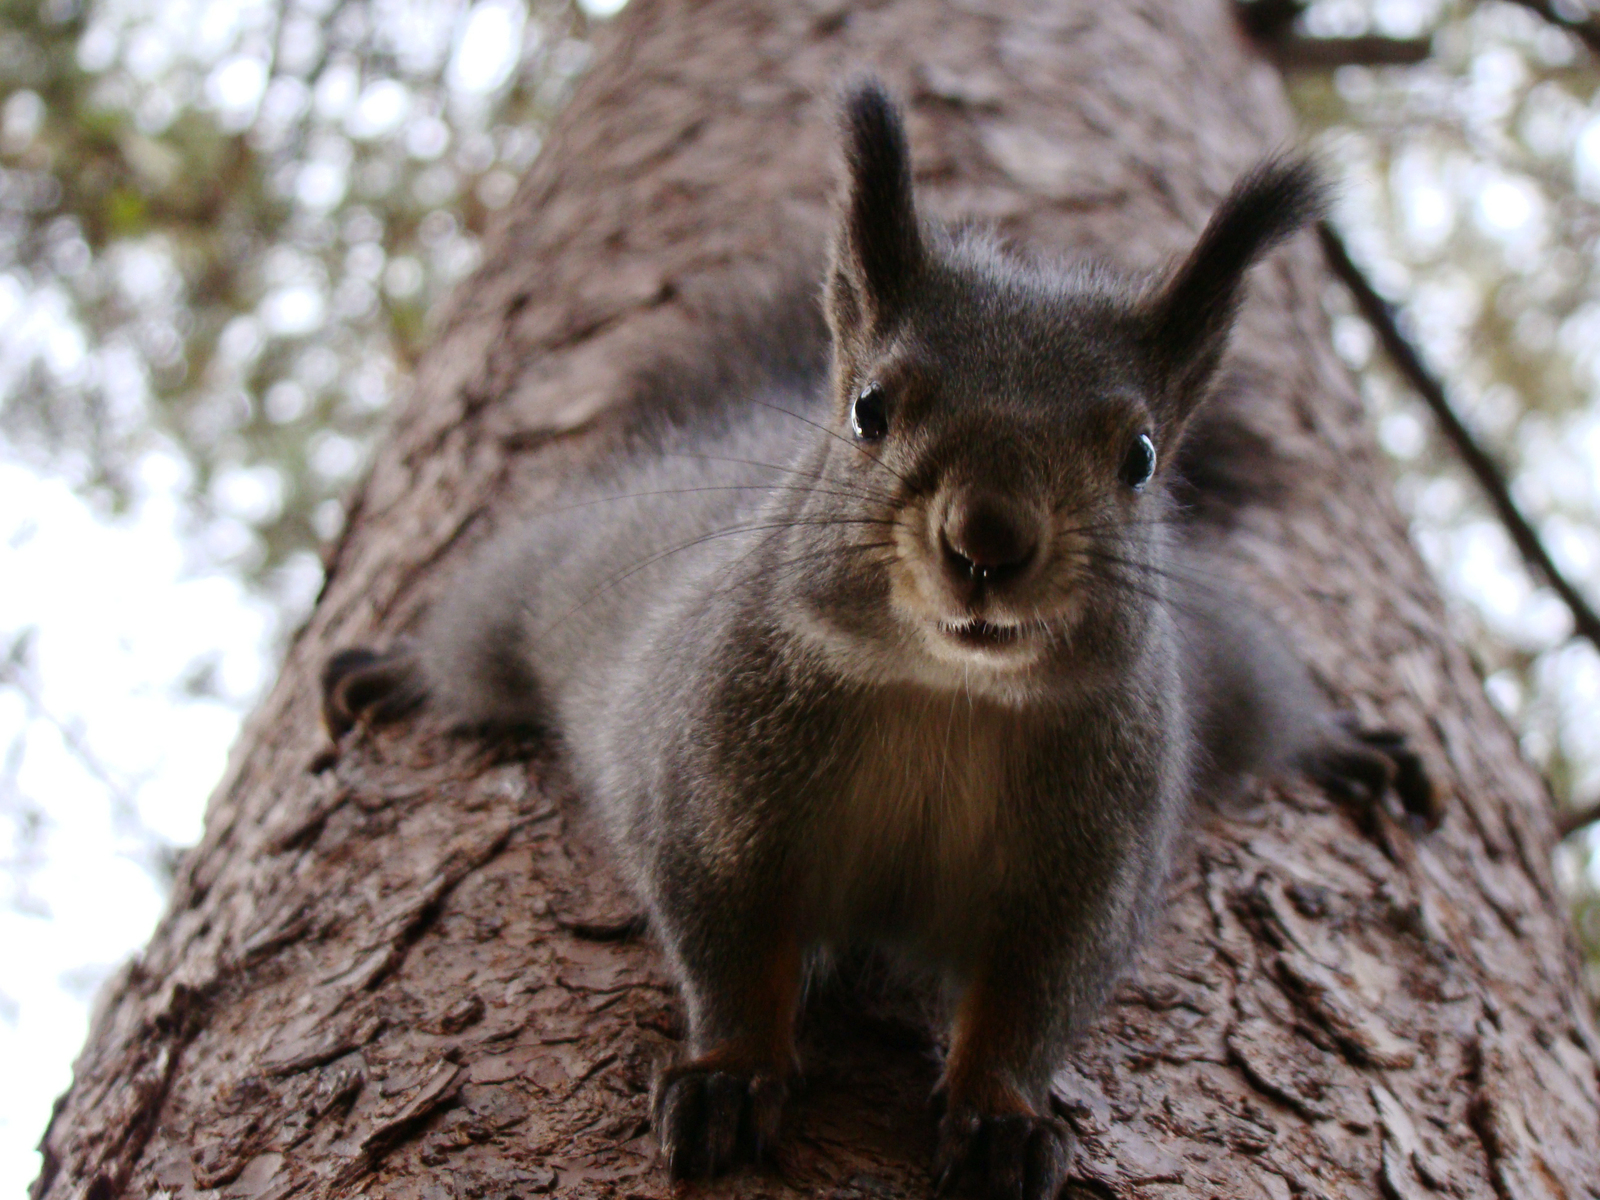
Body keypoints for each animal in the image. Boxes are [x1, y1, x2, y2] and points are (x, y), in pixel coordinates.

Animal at [324, 82, 1440, 1200]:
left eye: (1140, 457)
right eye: (869, 410)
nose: (987, 540)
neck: (944, 694)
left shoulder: (1092, 858)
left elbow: (1036, 1000)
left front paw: (1002, 1118)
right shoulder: (708, 784)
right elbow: (728, 941)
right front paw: (728, 1074)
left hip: (1225, 654)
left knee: (1270, 710)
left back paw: (1339, 745)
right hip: (530, 589)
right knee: (474, 645)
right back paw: (399, 673)